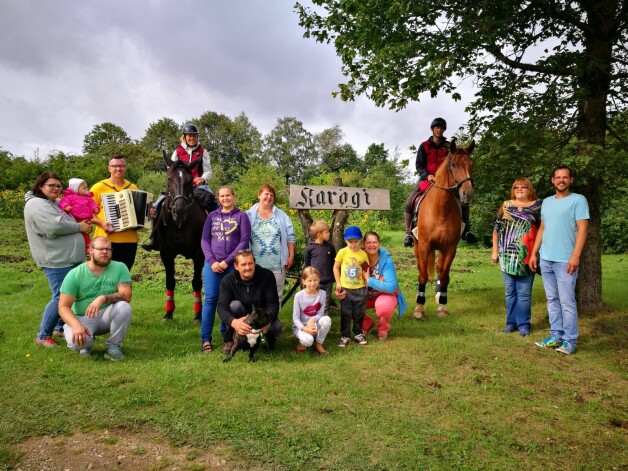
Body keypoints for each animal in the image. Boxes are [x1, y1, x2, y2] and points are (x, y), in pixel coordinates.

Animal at [158, 153, 212, 322]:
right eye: (169, 178)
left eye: (190, 180)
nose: (179, 210)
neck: (179, 225)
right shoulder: (166, 253)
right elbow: (170, 281)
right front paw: (168, 313)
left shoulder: (199, 255)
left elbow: (196, 283)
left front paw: (198, 314)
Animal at [412, 138, 476, 318]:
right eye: (453, 164)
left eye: (471, 164)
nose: (467, 194)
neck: (441, 209)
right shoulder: (424, 245)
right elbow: (423, 276)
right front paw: (419, 308)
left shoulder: (450, 248)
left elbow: (445, 275)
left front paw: (442, 306)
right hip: (417, 246)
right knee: (422, 269)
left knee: (440, 269)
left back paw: (439, 294)